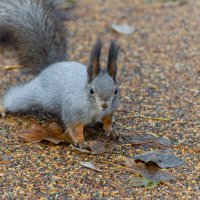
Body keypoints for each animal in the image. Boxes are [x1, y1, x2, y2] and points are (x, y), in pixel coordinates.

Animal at [0, 0, 119, 145]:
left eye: (115, 91)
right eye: (91, 90)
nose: (105, 104)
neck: (94, 109)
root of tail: (52, 65)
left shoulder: (109, 111)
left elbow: (108, 120)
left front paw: (110, 130)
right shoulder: (72, 111)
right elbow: (74, 127)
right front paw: (80, 140)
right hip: (35, 93)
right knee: (16, 97)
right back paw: (3, 107)